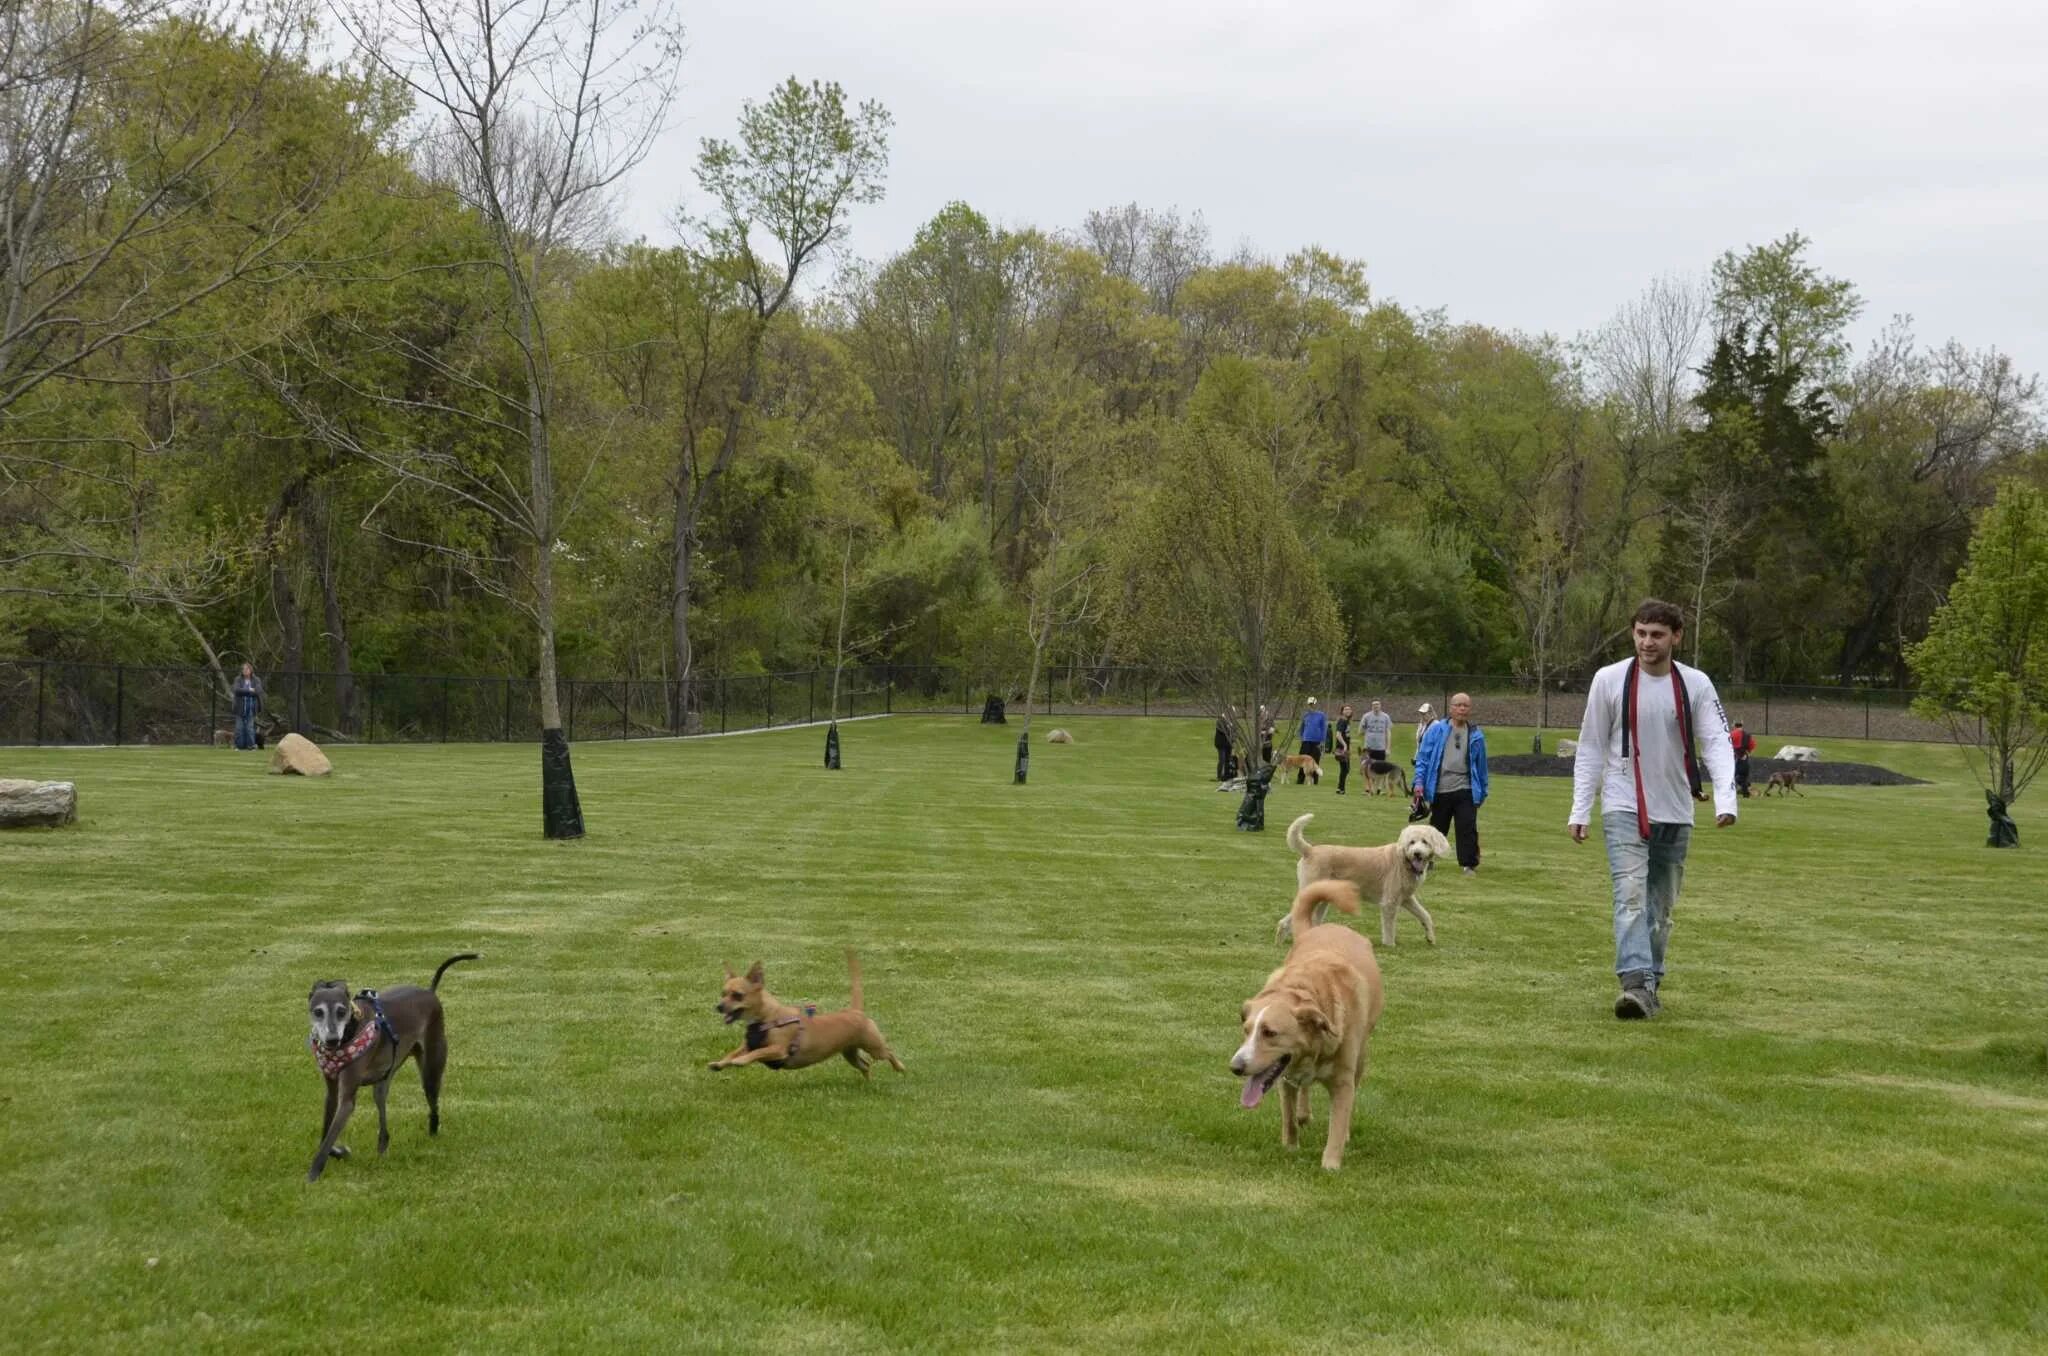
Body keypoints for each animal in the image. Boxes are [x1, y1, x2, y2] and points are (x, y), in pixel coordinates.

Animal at [303, 954, 475, 1179]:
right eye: (318, 1012)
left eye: (341, 1011)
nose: (331, 1040)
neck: (350, 1032)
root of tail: (429, 991)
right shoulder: (331, 1093)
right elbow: (326, 1135)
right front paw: (340, 1152)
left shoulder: (347, 1100)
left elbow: (328, 1139)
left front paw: (313, 1175)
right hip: (385, 1079)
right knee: (382, 1108)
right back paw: (383, 1145)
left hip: (431, 1070)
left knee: (434, 1107)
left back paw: (432, 1135)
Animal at [712, 950, 905, 1081]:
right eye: (723, 994)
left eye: (737, 995)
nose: (718, 1006)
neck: (767, 1018)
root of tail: (855, 1011)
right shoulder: (747, 1045)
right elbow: (733, 1053)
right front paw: (720, 1063)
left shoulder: (778, 1049)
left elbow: (758, 1051)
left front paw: (741, 1061)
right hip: (850, 1053)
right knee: (865, 1065)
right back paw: (867, 1082)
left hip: (874, 1047)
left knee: (888, 1052)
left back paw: (900, 1067)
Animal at [1228, 876, 1392, 1171]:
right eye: (1246, 1031)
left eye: (1270, 1032)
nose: (1236, 1067)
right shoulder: (1283, 1077)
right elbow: (1288, 1116)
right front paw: (1291, 1147)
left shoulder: (1343, 1081)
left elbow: (1338, 1124)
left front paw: (1330, 1165)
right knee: (1302, 1091)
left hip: (1362, 1054)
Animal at [1277, 811, 1458, 950]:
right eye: (1412, 842)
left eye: (1425, 842)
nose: (1417, 853)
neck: (1404, 861)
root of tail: (1309, 850)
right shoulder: (1390, 903)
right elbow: (1389, 927)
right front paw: (1389, 945)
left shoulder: (1407, 898)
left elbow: (1425, 915)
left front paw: (1430, 937)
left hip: (1321, 898)